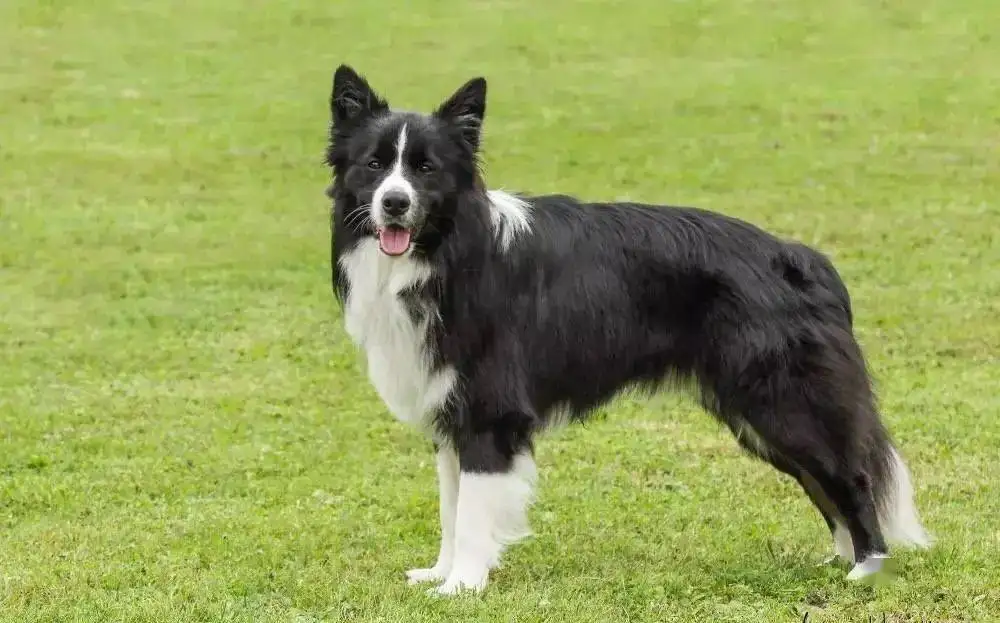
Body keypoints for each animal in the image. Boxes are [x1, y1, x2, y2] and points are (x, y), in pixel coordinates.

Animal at [324, 63, 932, 596]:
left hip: (785, 402)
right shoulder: (451, 414)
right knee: (823, 481)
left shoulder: (490, 414)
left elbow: (472, 513)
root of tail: (801, 257)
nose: (394, 203)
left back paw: (867, 569)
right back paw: (846, 559)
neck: (445, 251)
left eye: (426, 170)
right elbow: (452, 508)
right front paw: (440, 574)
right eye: (374, 165)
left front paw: (462, 587)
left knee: (852, 477)